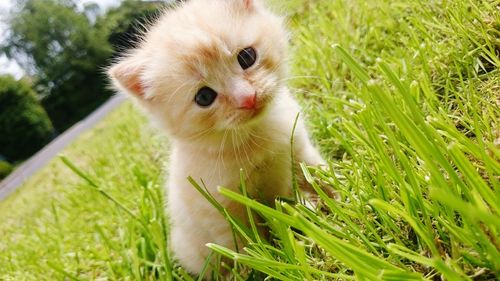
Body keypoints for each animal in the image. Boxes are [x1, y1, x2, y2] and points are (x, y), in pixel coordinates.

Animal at [108, 0, 324, 276]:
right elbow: (244, 244)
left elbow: (319, 174)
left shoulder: (299, 149)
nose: (248, 98)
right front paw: (260, 266)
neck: (251, 138)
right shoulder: (219, 211)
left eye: (246, 57)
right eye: (204, 97)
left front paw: (336, 198)